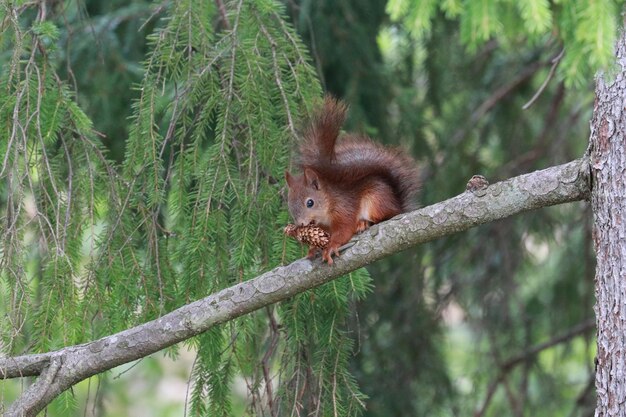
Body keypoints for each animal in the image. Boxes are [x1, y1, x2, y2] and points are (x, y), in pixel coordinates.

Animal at [284, 96, 420, 264]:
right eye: (289, 203)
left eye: (310, 202)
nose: (300, 224)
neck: (329, 201)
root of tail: (398, 205)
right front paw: (313, 248)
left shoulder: (344, 209)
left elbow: (344, 230)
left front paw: (331, 246)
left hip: (376, 200)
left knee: (384, 217)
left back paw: (363, 223)